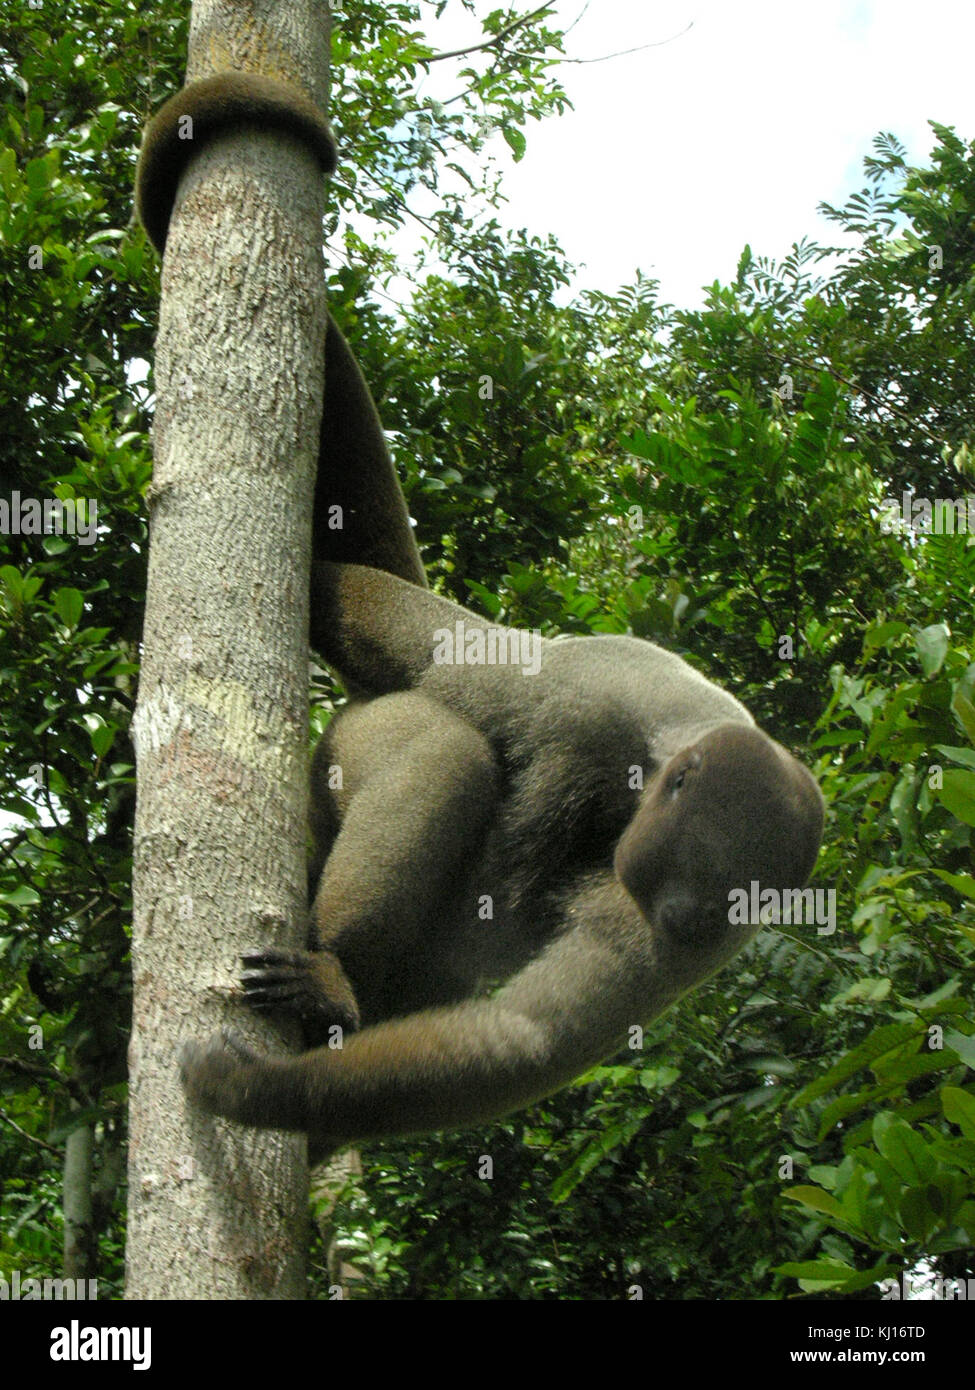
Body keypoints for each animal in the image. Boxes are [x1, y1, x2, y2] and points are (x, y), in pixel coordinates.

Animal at [136, 76, 825, 1155]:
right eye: (699, 871)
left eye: (714, 912)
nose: (678, 922)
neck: (675, 740)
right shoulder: (588, 700)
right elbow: (411, 656)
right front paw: (250, 1088)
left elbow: (523, 1040)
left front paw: (265, 1094)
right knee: (434, 736)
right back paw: (335, 977)